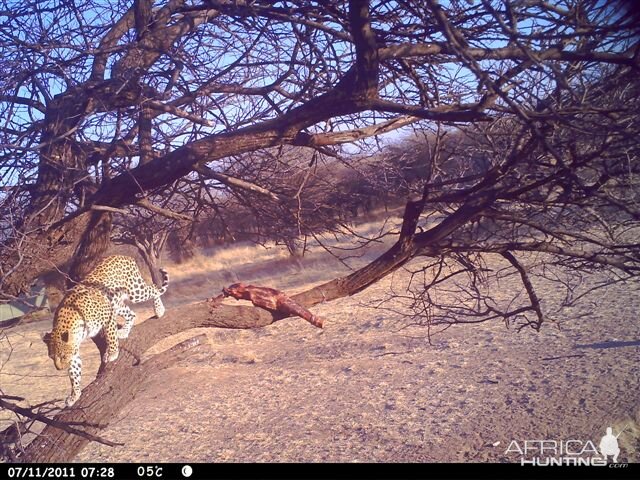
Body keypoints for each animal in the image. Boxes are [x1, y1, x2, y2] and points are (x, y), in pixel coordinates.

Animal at [44, 255, 170, 404]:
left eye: (63, 356)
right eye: (52, 357)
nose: (59, 369)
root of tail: (122, 256)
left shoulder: (108, 316)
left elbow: (111, 336)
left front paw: (112, 354)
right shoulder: (74, 351)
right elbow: (74, 373)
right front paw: (75, 395)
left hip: (135, 291)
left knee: (154, 288)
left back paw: (159, 310)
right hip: (116, 303)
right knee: (132, 314)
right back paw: (124, 331)